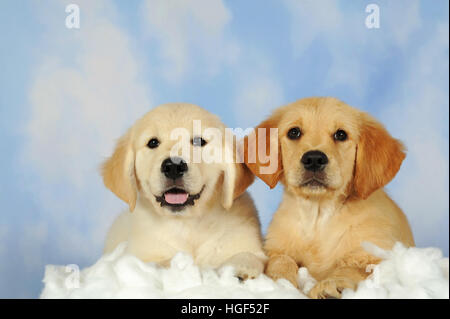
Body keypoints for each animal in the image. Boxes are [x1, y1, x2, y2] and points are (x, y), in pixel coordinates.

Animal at [102, 104, 266, 280]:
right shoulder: (141, 253)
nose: (173, 167)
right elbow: (159, 263)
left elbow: (249, 255)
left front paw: (239, 268)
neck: (188, 224)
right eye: (152, 142)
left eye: (198, 141)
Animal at [244, 98, 414, 300]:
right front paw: (280, 284)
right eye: (294, 132)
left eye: (341, 134)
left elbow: (351, 268)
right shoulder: (276, 247)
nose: (314, 159)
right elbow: (280, 260)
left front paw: (332, 284)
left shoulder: (375, 256)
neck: (318, 215)